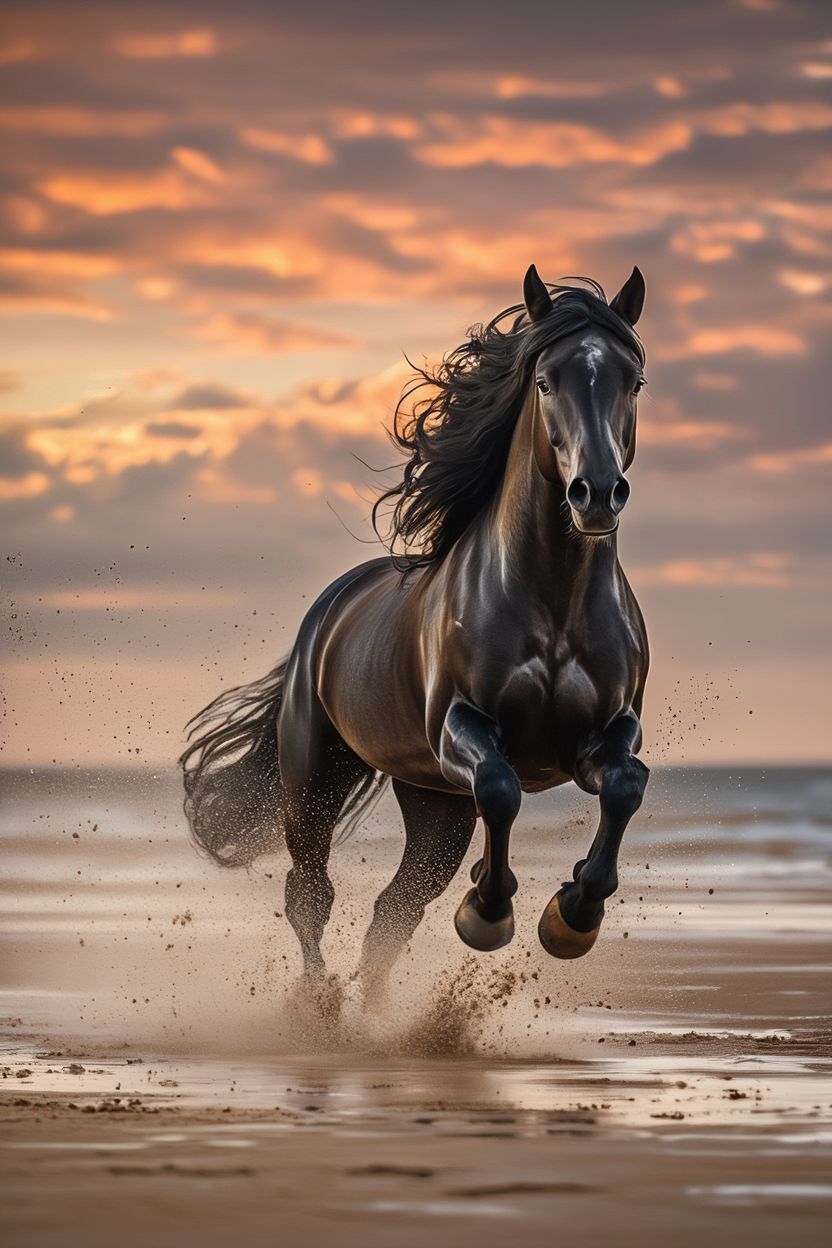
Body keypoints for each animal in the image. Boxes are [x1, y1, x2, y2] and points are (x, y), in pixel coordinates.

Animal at [181, 265, 651, 1002]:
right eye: (547, 381)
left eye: (633, 381)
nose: (596, 493)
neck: (553, 601)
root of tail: (326, 613)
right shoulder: (461, 726)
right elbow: (502, 789)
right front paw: (488, 911)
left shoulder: (604, 733)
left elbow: (627, 784)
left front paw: (572, 915)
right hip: (315, 781)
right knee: (310, 893)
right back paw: (320, 1004)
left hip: (435, 804)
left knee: (392, 911)